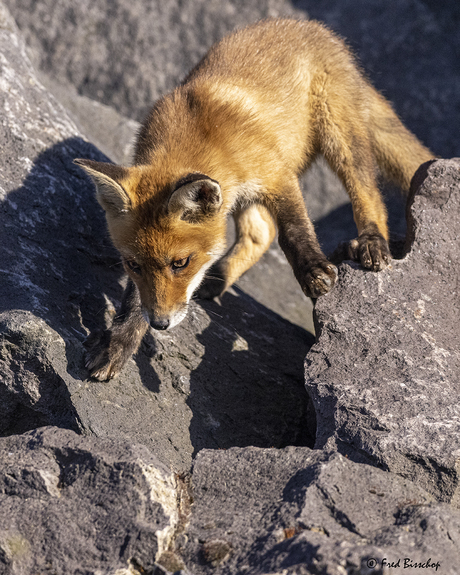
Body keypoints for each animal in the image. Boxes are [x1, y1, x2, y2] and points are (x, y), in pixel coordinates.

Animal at [74, 18, 432, 380]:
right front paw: (119, 341)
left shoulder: (277, 174)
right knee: (261, 234)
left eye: (180, 263)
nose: (160, 324)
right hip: (246, 198)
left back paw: (371, 240)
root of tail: (313, 27)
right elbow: (135, 298)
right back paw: (218, 278)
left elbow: (294, 231)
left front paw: (313, 272)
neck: (206, 141)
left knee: (369, 194)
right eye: (132, 265)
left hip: (337, 136)